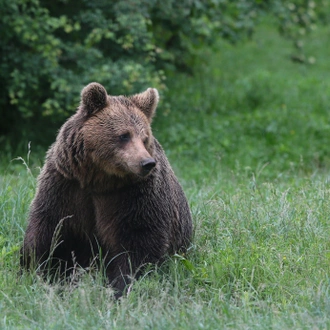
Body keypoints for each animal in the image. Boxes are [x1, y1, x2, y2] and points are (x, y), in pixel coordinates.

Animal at [20, 82, 193, 296]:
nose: (147, 163)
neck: (99, 180)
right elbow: (49, 228)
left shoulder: (134, 195)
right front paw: (34, 271)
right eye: (124, 135)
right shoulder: (65, 185)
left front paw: (121, 286)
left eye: (145, 138)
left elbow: (139, 241)